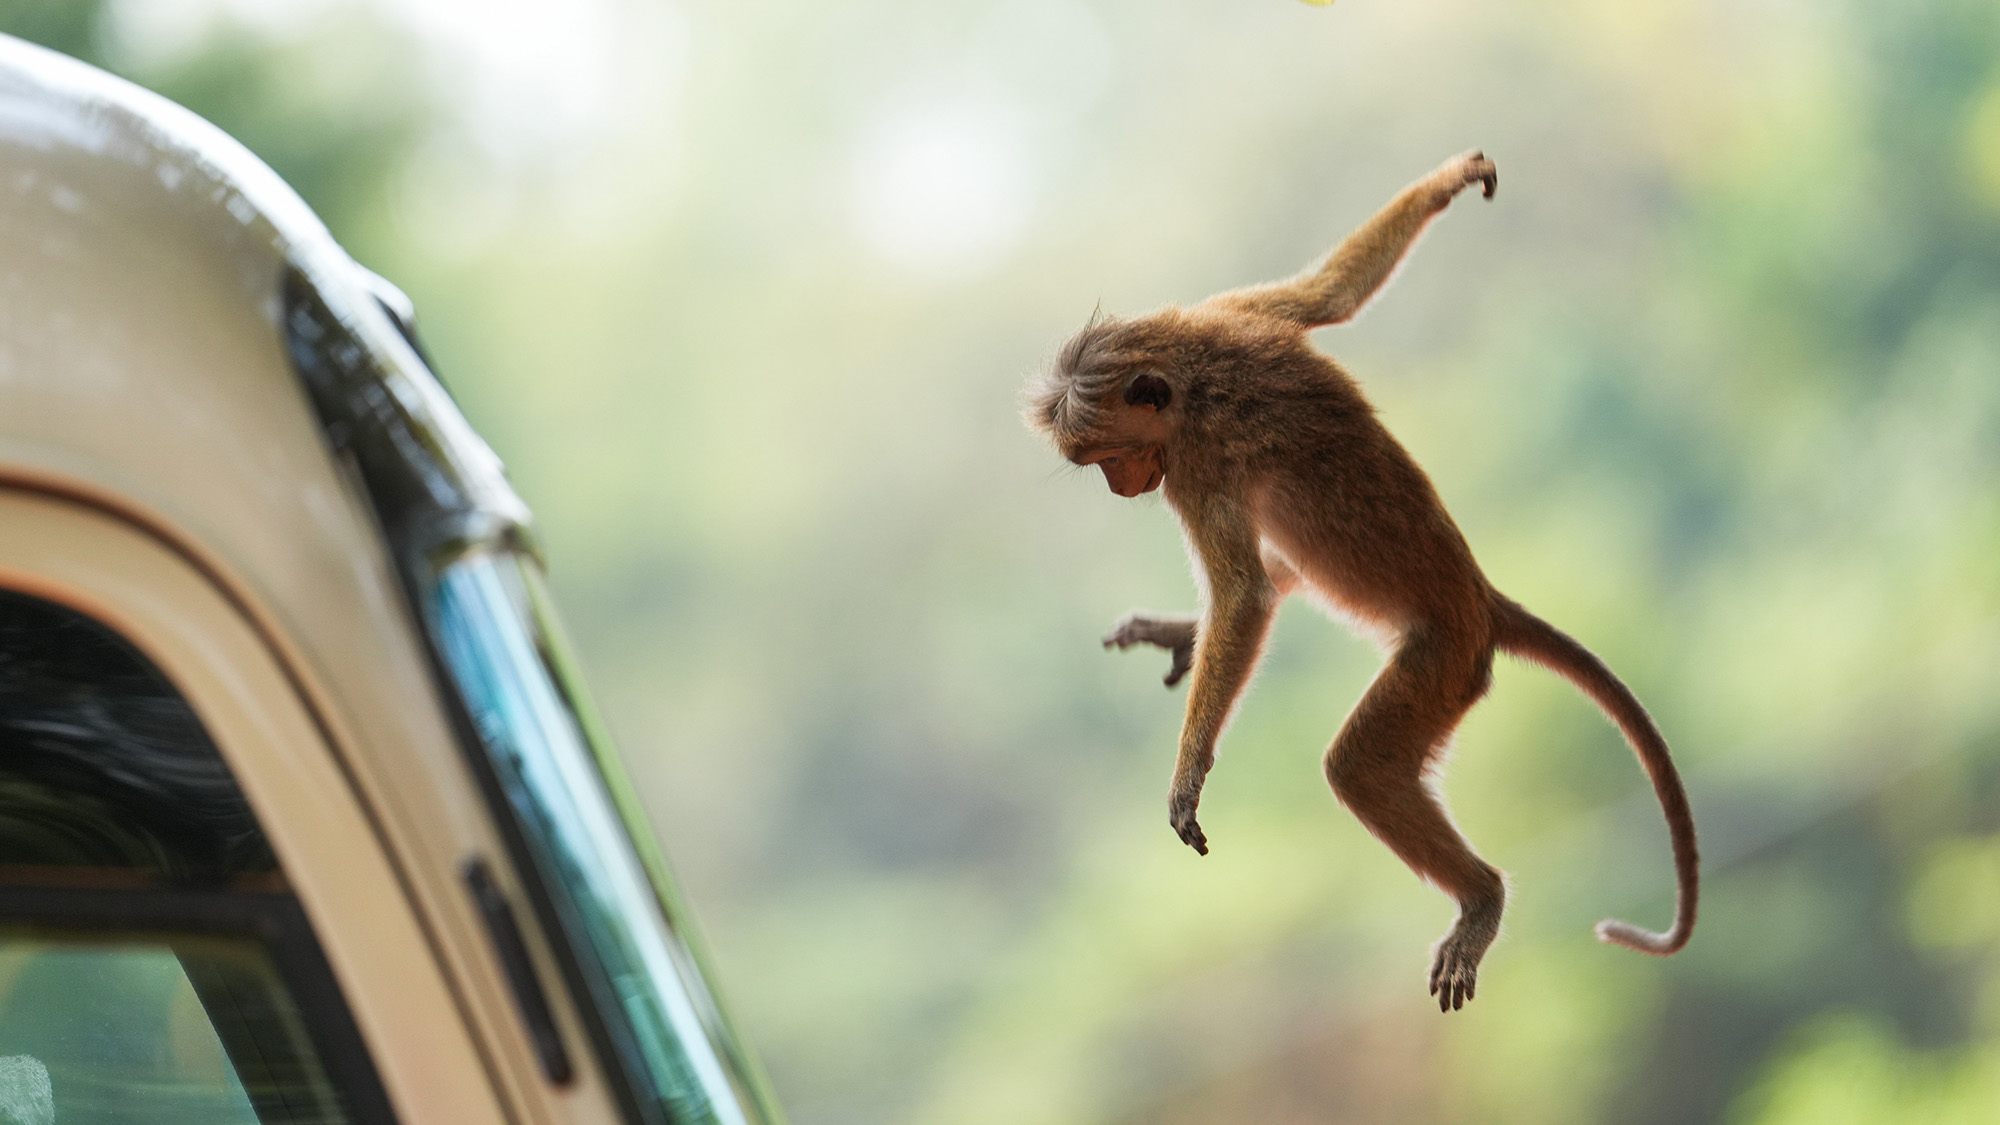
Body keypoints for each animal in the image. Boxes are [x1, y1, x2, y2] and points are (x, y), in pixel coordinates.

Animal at [1023, 150, 1696, 1011]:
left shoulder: (1197, 465)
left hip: (1444, 664)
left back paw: (1481, 898)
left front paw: (1189, 771)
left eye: (1108, 457)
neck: (1190, 371)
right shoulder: (1231, 311)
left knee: (1358, 762)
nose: (1118, 488)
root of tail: (1481, 599)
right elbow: (1327, 295)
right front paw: (1449, 181)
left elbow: (1244, 595)